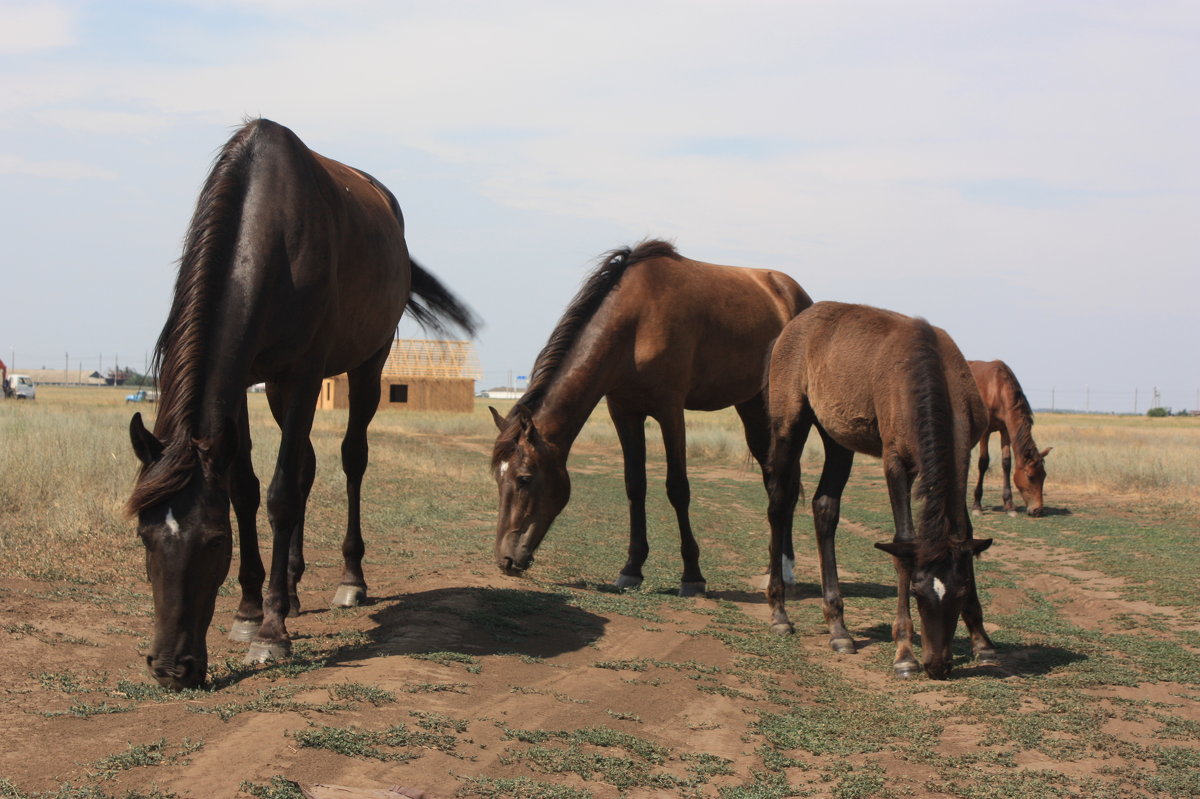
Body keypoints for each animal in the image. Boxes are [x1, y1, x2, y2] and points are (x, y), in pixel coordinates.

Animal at [125, 119, 472, 691]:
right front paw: (249, 611)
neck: (270, 228)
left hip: (366, 366)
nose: (172, 668)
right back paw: (287, 590)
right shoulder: (245, 382)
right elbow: (245, 487)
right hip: (278, 391)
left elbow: (282, 493)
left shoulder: (307, 374)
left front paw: (271, 635)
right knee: (307, 464)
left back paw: (349, 581)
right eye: (145, 537)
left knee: (351, 458)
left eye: (214, 543)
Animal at [489, 239, 816, 595]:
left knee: (784, 480)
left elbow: (678, 488)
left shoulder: (669, 411)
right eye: (497, 479)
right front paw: (631, 569)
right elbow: (635, 486)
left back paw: (785, 570)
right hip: (752, 406)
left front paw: (692, 576)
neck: (635, 323)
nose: (505, 560)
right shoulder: (624, 412)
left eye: (524, 478)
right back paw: (773, 567)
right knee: (773, 478)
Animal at [768, 302, 993, 676]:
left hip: (837, 436)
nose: (937, 665)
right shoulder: (896, 462)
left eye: (961, 591)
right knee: (779, 505)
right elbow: (903, 543)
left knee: (824, 507)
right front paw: (904, 652)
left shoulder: (963, 457)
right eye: (916, 591)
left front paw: (982, 640)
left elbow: (966, 534)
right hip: (788, 423)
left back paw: (839, 629)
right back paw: (779, 612)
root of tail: (796, 323)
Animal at [964, 355, 1051, 515]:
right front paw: (977, 505)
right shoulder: (985, 432)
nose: (1037, 510)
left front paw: (1009, 505)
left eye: (1044, 476)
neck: (997, 388)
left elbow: (1006, 463)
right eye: (1030, 476)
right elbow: (983, 462)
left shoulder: (1005, 430)